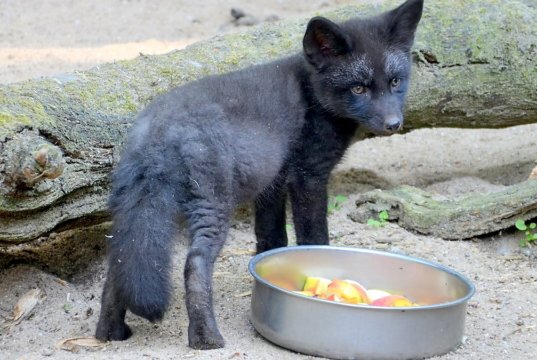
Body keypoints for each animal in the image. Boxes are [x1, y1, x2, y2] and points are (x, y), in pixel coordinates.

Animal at [96, 0, 422, 350]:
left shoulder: (273, 183)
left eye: (395, 82)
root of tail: (158, 130)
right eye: (359, 88)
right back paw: (207, 338)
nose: (393, 124)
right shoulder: (308, 175)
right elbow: (313, 237)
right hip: (213, 205)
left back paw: (109, 332)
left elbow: (271, 238)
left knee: (120, 264)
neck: (312, 94)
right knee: (194, 265)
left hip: (140, 210)